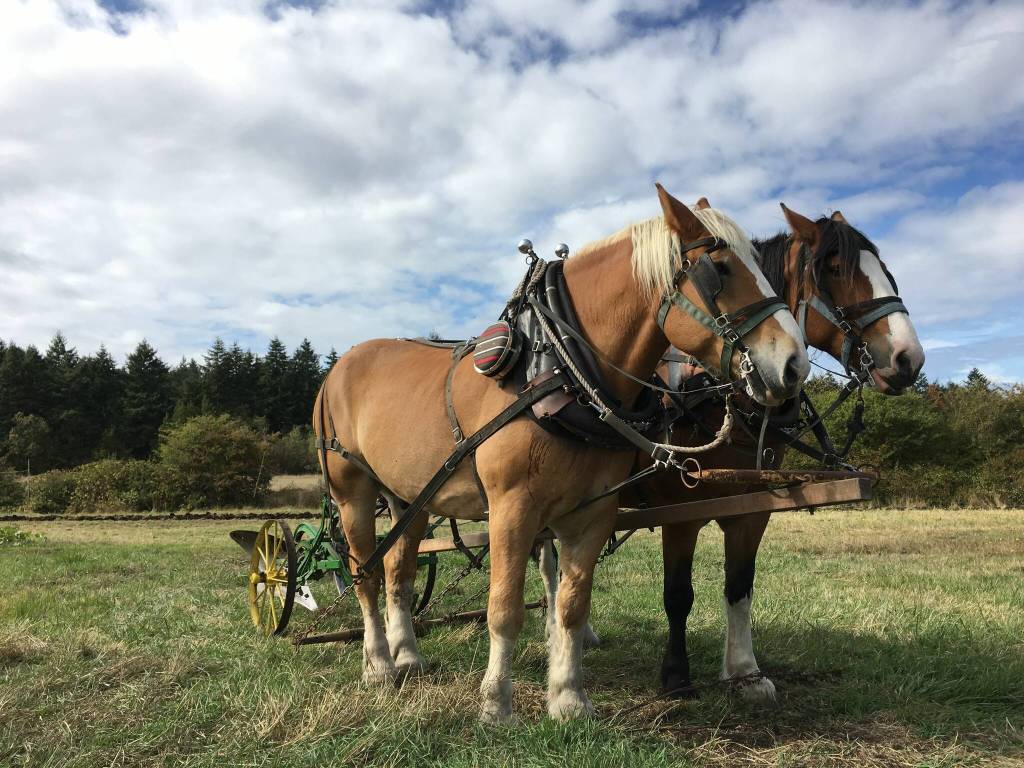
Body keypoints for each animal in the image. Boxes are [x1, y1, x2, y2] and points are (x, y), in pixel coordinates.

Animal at [314, 184, 809, 722]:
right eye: (720, 268)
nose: (794, 365)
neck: (559, 369)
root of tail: (336, 368)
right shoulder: (512, 509)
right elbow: (504, 608)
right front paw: (496, 704)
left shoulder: (591, 513)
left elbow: (572, 605)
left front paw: (569, 697)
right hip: (353, 493)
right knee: (363, 573)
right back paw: (380, 665)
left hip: (409, 498)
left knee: (397, 573)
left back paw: (407, 655)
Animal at [538, 203, 924, 702]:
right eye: (836, 270)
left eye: (886, 270)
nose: (907, 358)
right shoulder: (679, 511)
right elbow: (677, 593)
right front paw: (676, 675)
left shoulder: (752, 508)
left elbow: (740, 586)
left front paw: (745, 671)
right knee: (551, 566)